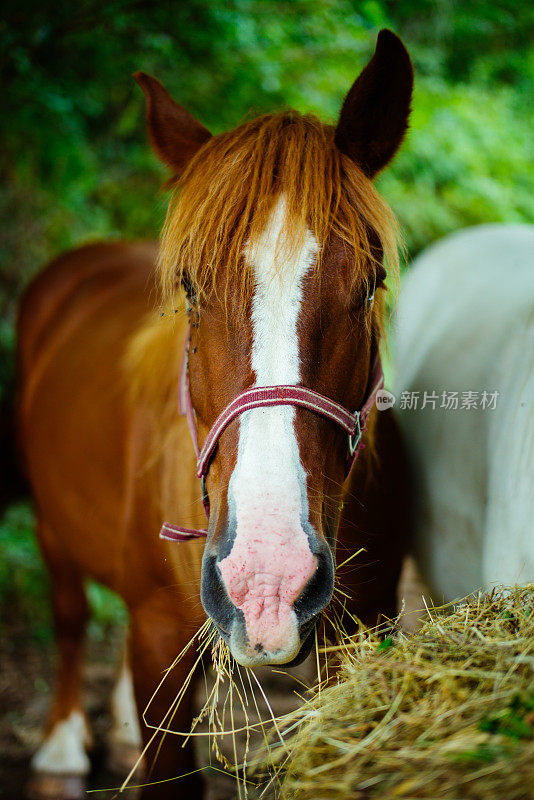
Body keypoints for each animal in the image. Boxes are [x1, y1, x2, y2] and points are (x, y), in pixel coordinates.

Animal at [18, 29, 414, 800]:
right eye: (191, 287)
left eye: (370, 282)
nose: (267, 581)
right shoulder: (160, 637)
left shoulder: (362, 627)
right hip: (53, 525)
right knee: (70, 613)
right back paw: (61, 747)